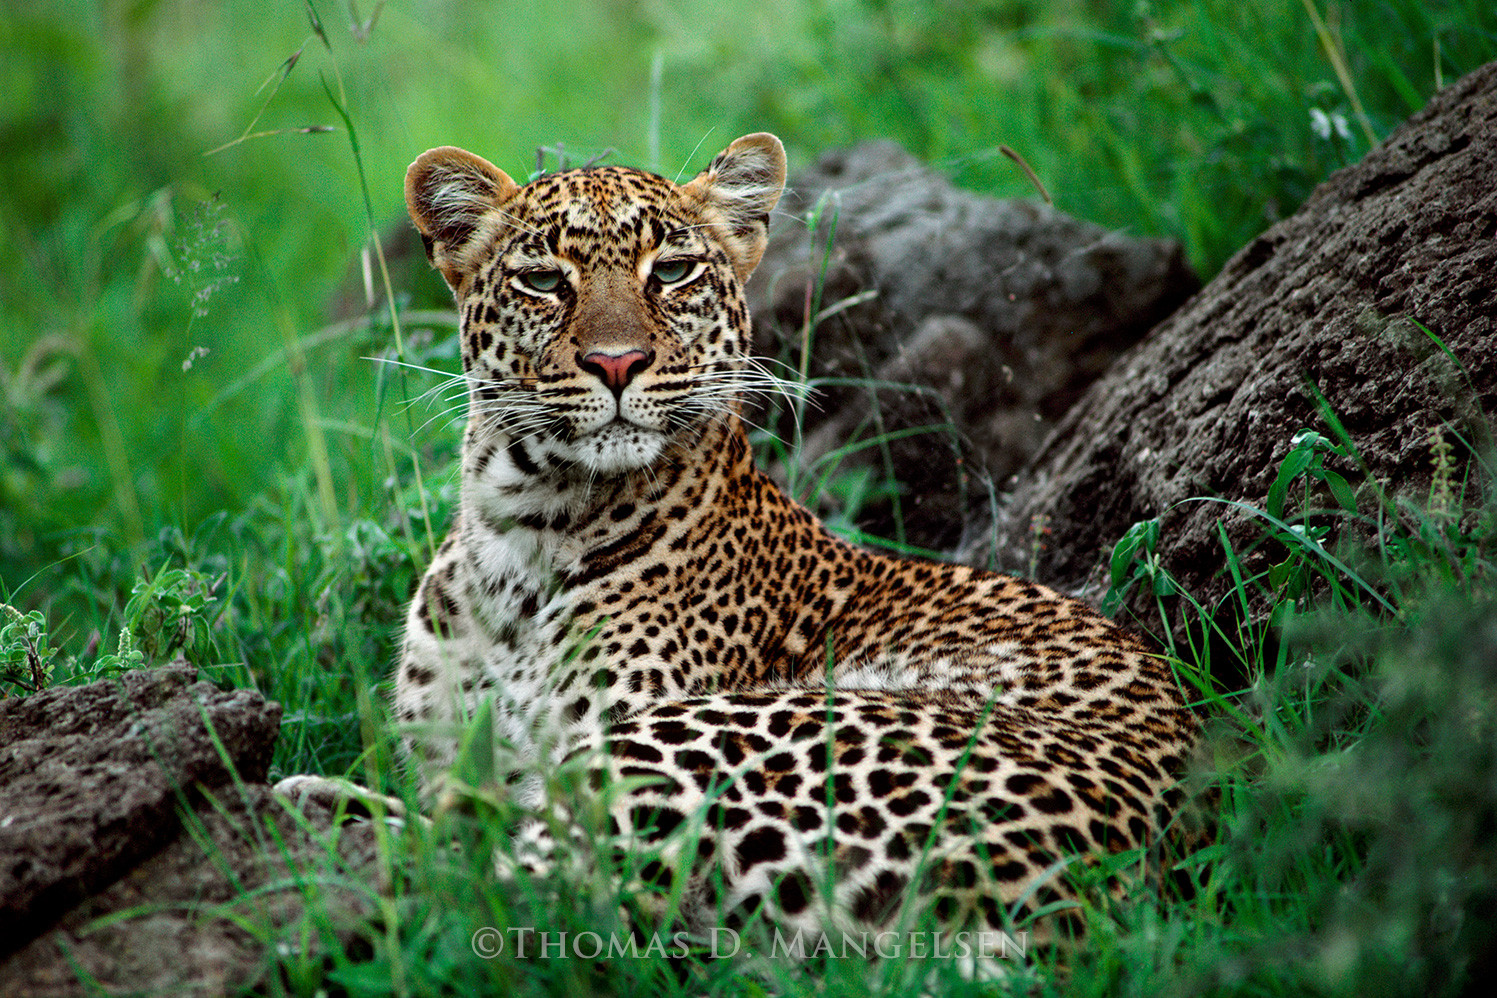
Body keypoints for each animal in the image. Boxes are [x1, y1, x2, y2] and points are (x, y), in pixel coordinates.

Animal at [320, 132, 1199, 947]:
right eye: (542, 281)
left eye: (672, 272)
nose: (616, 363)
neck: (520, 533)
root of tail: (1086, 905)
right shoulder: (449, 759)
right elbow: (449, 807)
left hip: (700, 739)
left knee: (515, 891)